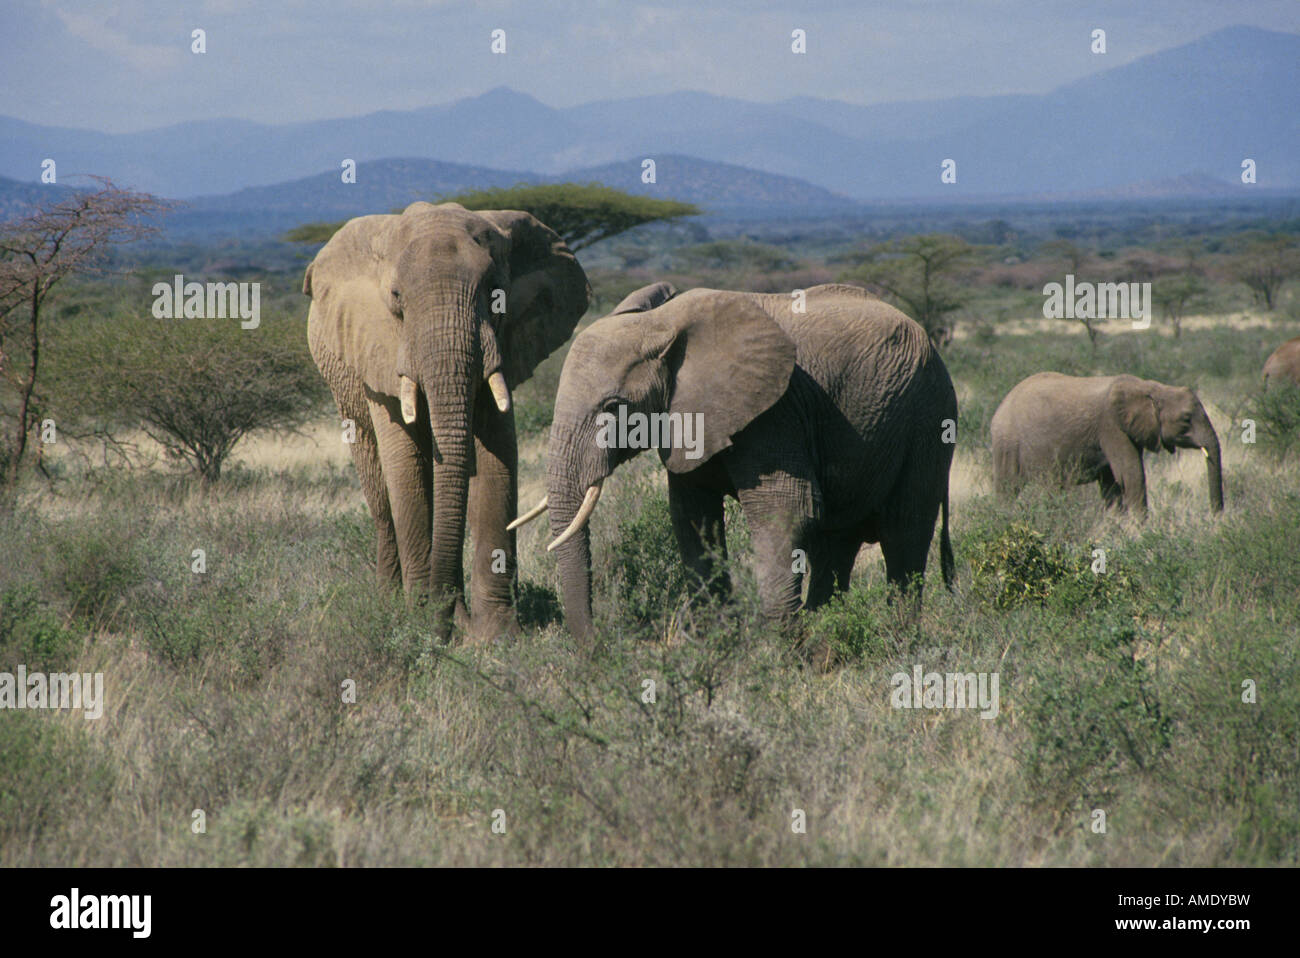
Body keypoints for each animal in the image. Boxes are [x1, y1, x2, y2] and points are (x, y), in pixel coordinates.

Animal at [304, 201, 590, 640]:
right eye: (396, 297)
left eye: (495, 293)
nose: (448, 621)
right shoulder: (379, 351)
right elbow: (404, 465)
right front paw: (421, 624)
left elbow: (497, 461)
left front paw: (494, 635)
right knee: (381, 499)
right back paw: (389, 603)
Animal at [510, 282, 957, 643]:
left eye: (614, 407)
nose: (596, 646)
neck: (660, 324)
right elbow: (693, 518)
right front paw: (718, 644)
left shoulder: (776, 411)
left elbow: (786, 510)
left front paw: (780, 654)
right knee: (836, 543)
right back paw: (830, 632)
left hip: (928, 417)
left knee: (904, 534)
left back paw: (896, 640)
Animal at [990, 372, 1224, 515]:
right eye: (1186, 419)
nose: (1214, 518)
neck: (1149, 387)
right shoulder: (1112, 427)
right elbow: (1131, 475)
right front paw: (1140, 533)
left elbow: (1112, 483)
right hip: (1007, 444)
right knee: (1010, 488)